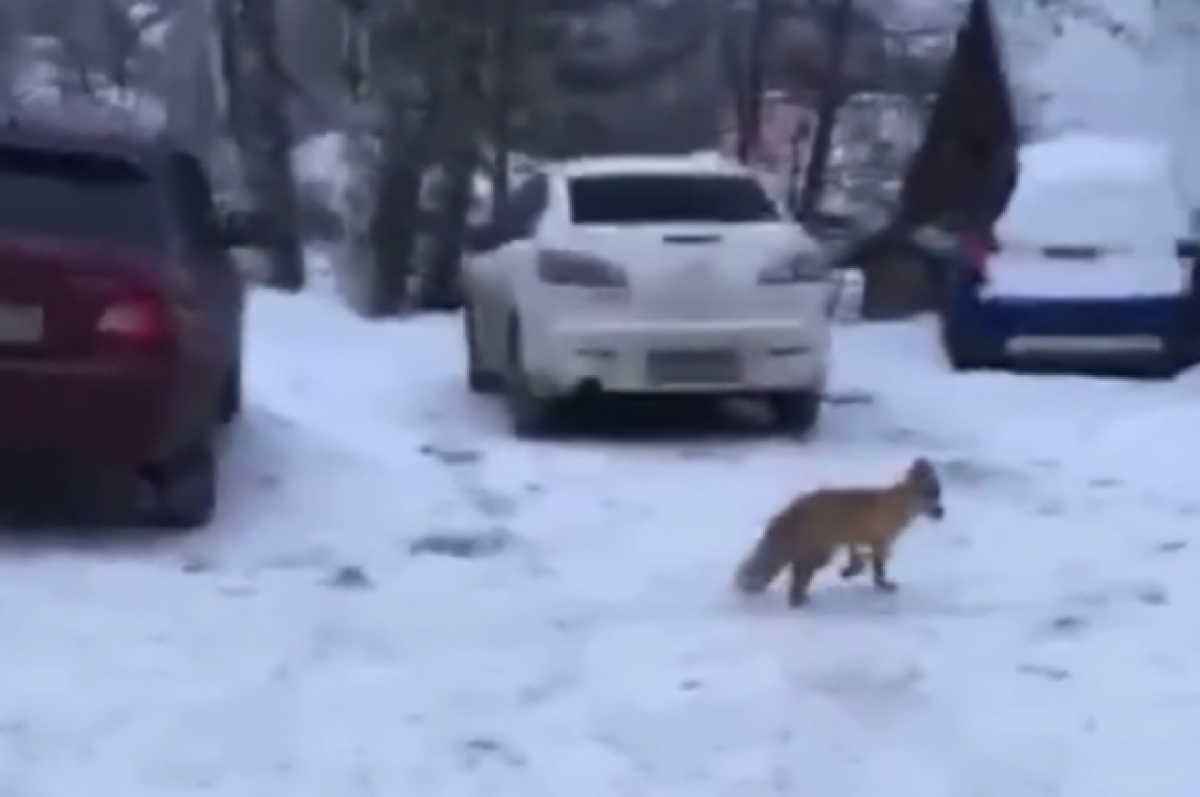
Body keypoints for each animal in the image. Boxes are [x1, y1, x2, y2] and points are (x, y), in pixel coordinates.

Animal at [729, 458, 945, 607]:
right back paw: (799, 602)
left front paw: (849, 572)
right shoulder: (879, 542)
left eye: (938, 494)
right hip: (821, 555)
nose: (942, 512)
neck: (896, 507)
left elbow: (860, 560)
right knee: (799, 577)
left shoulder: (855, 539)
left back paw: (801, 598)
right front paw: (881, 585)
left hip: (819, 553)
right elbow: (877, 569)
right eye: (929, 495)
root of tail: (798, 504)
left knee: (796, 573)